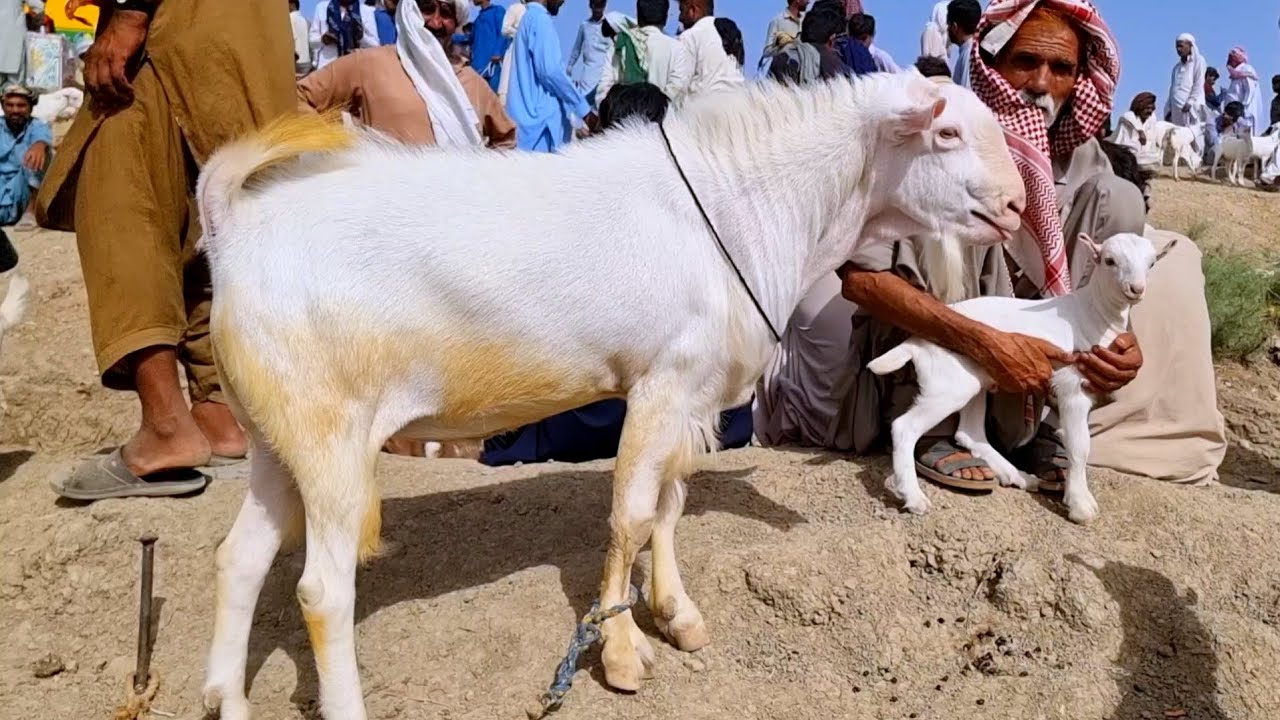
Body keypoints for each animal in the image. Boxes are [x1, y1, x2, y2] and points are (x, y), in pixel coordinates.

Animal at [194, 70, 1026, 720]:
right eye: (946, 131)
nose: (1018, 204)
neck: (733, 206)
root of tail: (235, 225)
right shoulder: (660, 383)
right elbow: (629, 516)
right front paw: (623, 653)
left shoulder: (688, 394)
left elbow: (668, 507)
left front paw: (676, 615)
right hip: (330, 433)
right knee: (321, 591)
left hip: (274, 435)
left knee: (240, 557)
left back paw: (225, 698)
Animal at [868, 233, 1174, 526]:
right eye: (1109, 261)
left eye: (1151, 263)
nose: (1136, 289)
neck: (1092, 313)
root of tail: (916, 342)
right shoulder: (1072, 388)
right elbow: (1080, 446)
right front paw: (1080, 506)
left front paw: (1079, 496)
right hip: (949, 383)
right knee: (904, 427)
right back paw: (914, 496)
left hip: (976, 379)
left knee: (969, 432)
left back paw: (1018, 476)